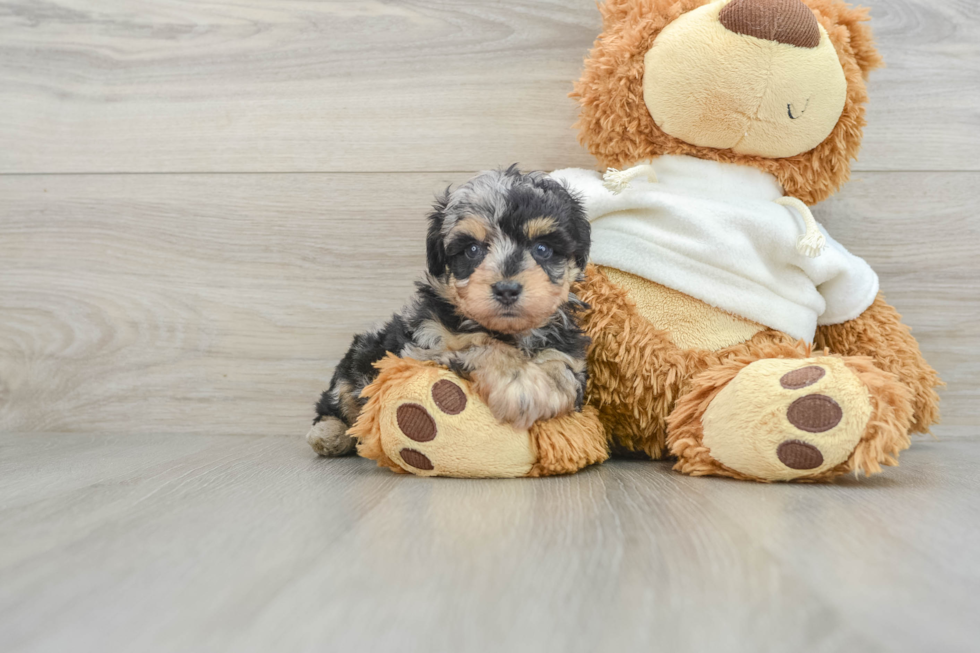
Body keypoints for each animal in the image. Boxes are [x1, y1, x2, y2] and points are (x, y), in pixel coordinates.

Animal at [310, 166, 592, 456]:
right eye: (472, 250)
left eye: (543, 249)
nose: (506, 289)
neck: (507, 332)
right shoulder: (425, 346)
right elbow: (479, 345)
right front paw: (518, 381)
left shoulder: (569, 352)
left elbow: (562, 367)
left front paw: (542, 387)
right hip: (360, 356)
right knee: (336, 400)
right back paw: (330, 434)